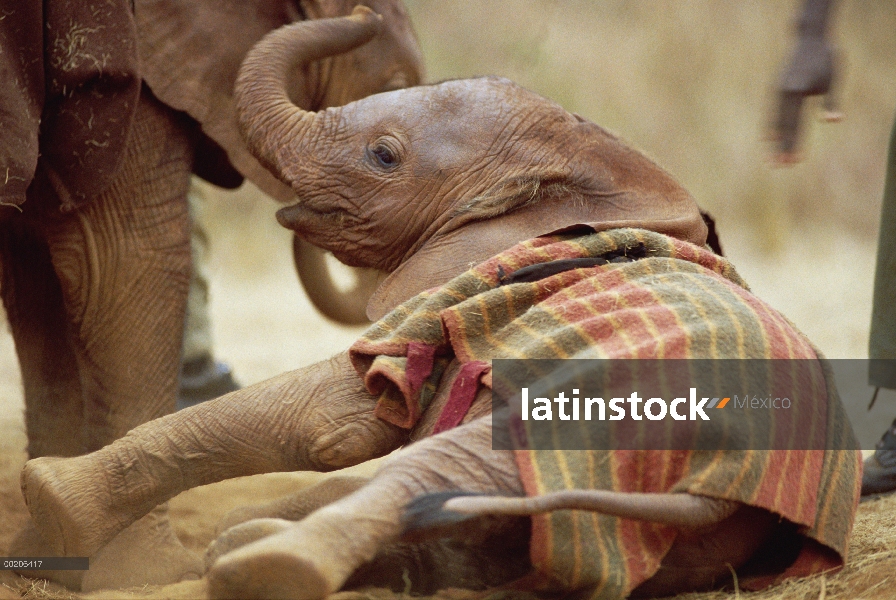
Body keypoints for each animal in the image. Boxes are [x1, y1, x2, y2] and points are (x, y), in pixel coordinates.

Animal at [21, 5, 860, 600]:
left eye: (383, 155)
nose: (366, 10)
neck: (593, 165)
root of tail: (714, 492)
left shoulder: (446, 293)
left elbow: (323, 414)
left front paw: (50, 497)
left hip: (605, 409)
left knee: (435, 469)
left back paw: (264, 564)